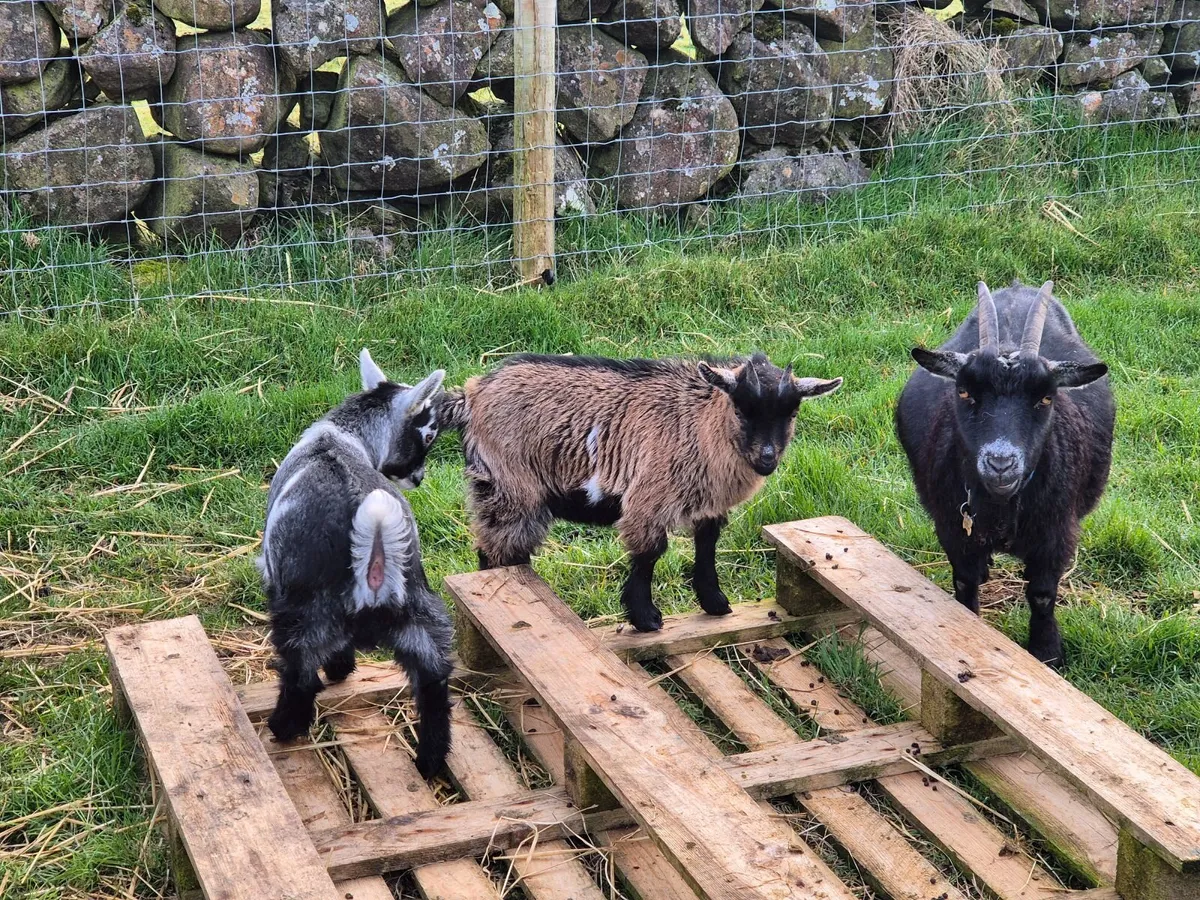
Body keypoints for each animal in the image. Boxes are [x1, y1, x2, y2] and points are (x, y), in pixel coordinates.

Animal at [257, 349, 454, 777]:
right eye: (428, 435)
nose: (418, 478)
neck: (341, 437)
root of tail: (375, 561)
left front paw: (338, 672)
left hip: (305, 613)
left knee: (301, 677)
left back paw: (282, 728)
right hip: (422, 611)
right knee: (433, 680)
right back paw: (430, 760)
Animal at [440, 352, 842, 632]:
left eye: (792, 412)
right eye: (742, 408)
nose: (767, 459)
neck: (699, 423)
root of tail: (469, 395)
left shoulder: (708, 505)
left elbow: (707, 545)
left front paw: (715, 602)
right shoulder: (648, 499)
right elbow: (650, 553)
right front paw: (646, 618)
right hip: (509, 486)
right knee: (496, 551)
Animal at [896, 280, 1114, 666]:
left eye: (1046, 398)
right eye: (964, 391)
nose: (1001, 464)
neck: (1000, 507)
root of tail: (1017, 287)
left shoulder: (1057, 533)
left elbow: (1042, 594)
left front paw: (1046, 652)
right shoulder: (952, 527)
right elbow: (965, 581)